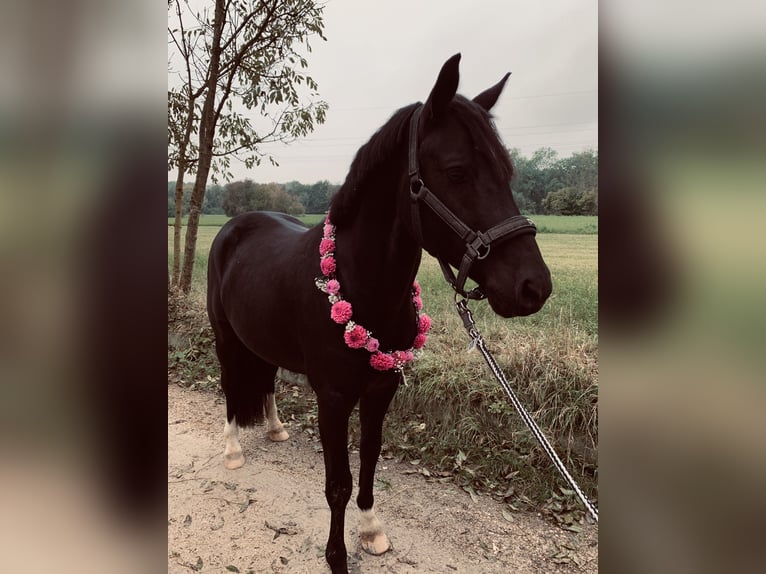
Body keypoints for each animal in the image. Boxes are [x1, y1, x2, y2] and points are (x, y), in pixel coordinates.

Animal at [206, 53, 552, 574]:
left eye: (508, 173)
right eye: (457, 172)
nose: (535, 287)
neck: (359, 283)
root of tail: (235, 225)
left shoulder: (382, 388)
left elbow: (369, 459)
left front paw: (371, 531)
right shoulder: (332, 398)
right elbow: (338, 483)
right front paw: (337, 556)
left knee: (265, 380)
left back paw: (276, 428)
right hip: (226, 338)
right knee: (232, 385)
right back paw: (231, 450)